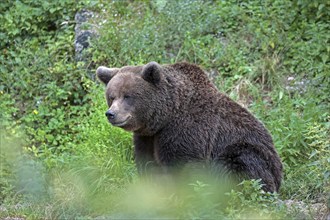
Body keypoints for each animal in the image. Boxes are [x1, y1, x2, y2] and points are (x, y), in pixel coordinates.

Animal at [96, 61, 282, 192]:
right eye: (111, 96)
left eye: (128, 96)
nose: (111, 114)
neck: (165, 118)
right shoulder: (147, 137)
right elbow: (147, 164)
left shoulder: (186, 131)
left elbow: (182, 166)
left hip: (248, 152)